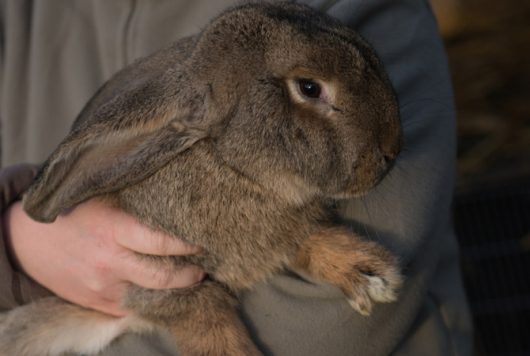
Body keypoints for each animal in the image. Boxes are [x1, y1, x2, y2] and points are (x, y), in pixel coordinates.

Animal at [0, 2, 402, 356]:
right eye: (308, 87)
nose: (393, 148)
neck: (232, 168)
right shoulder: (154, 279)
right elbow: (203, 312)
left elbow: (307, 240)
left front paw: (368, 272)